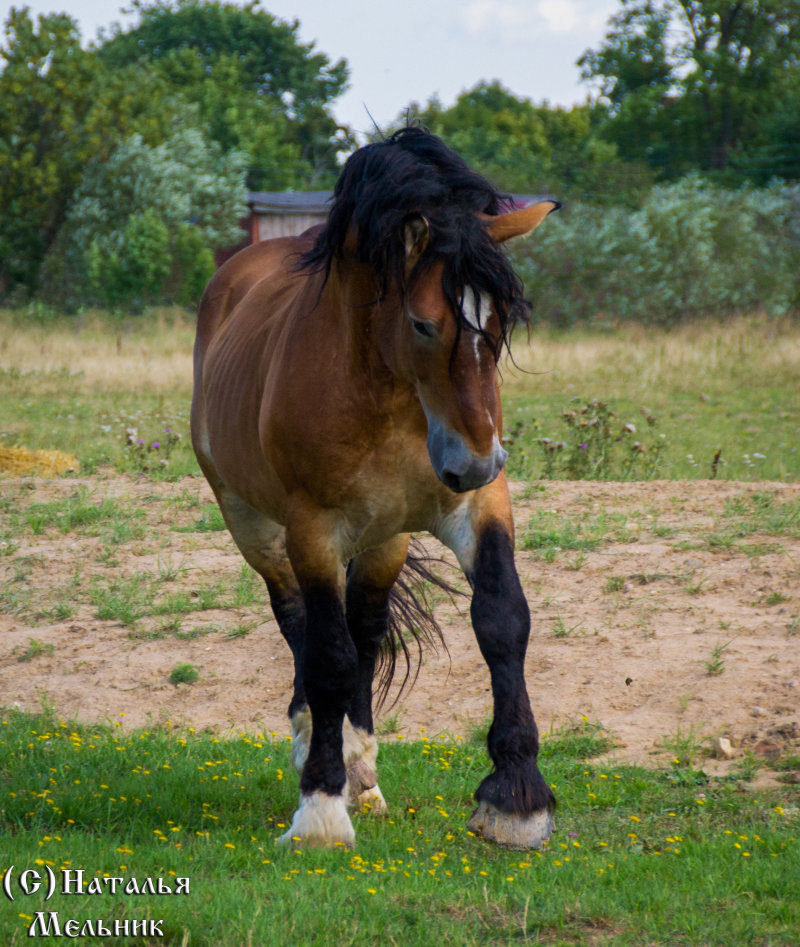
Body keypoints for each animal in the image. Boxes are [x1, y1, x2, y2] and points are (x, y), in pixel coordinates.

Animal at [191, 128, 560, 852]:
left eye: (503, 317)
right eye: (422, 323)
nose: (476, 461)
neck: (386, 394)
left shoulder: (477, 507)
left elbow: (502, 620)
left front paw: (516, 798)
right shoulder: (313, 530)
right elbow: (327, 658)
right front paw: (319, 808)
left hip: (386, 537)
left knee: (365, 632)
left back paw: (362, 769)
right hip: (255, 527)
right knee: (304, 629)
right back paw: (318, 752)